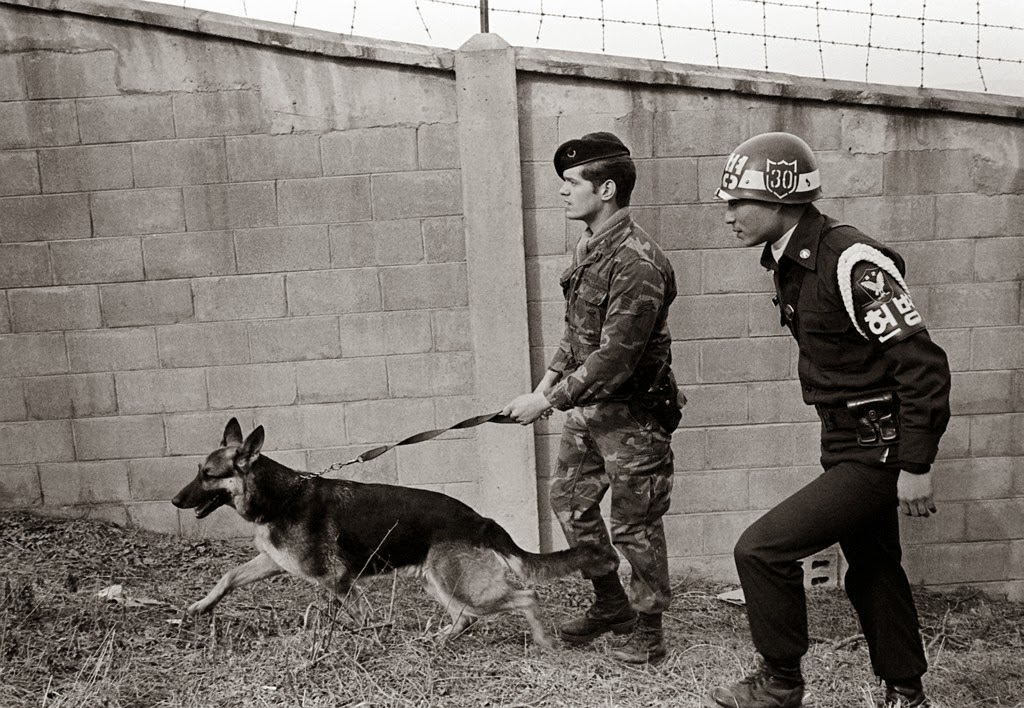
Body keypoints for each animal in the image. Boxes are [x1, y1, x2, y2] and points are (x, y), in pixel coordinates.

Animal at [172, 420, 614, 647]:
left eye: (208, 475)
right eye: (197, 470)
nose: (175, 499)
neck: (281, 496)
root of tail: (481, 520)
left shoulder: (338, 581)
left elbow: (364, 617)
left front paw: (373, 638)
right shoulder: (272, 561)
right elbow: (228, 576)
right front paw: (201, 607)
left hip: (461, 584)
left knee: (525, 597)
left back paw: (543, 643)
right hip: (438, 581)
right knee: (466, 617)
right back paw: (439, 638)